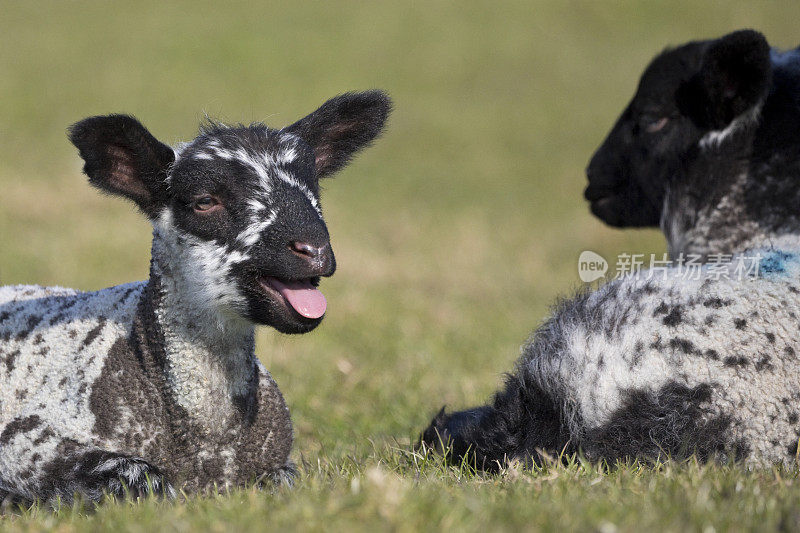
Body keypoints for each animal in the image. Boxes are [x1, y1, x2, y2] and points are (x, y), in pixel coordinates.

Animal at [0, 90, 392, 502]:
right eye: (204, 201)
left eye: (314, 191)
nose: (313, 249)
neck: (210, 446)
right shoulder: (30, 441)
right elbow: (142, 478)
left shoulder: (277, 462)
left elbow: (283, 480)